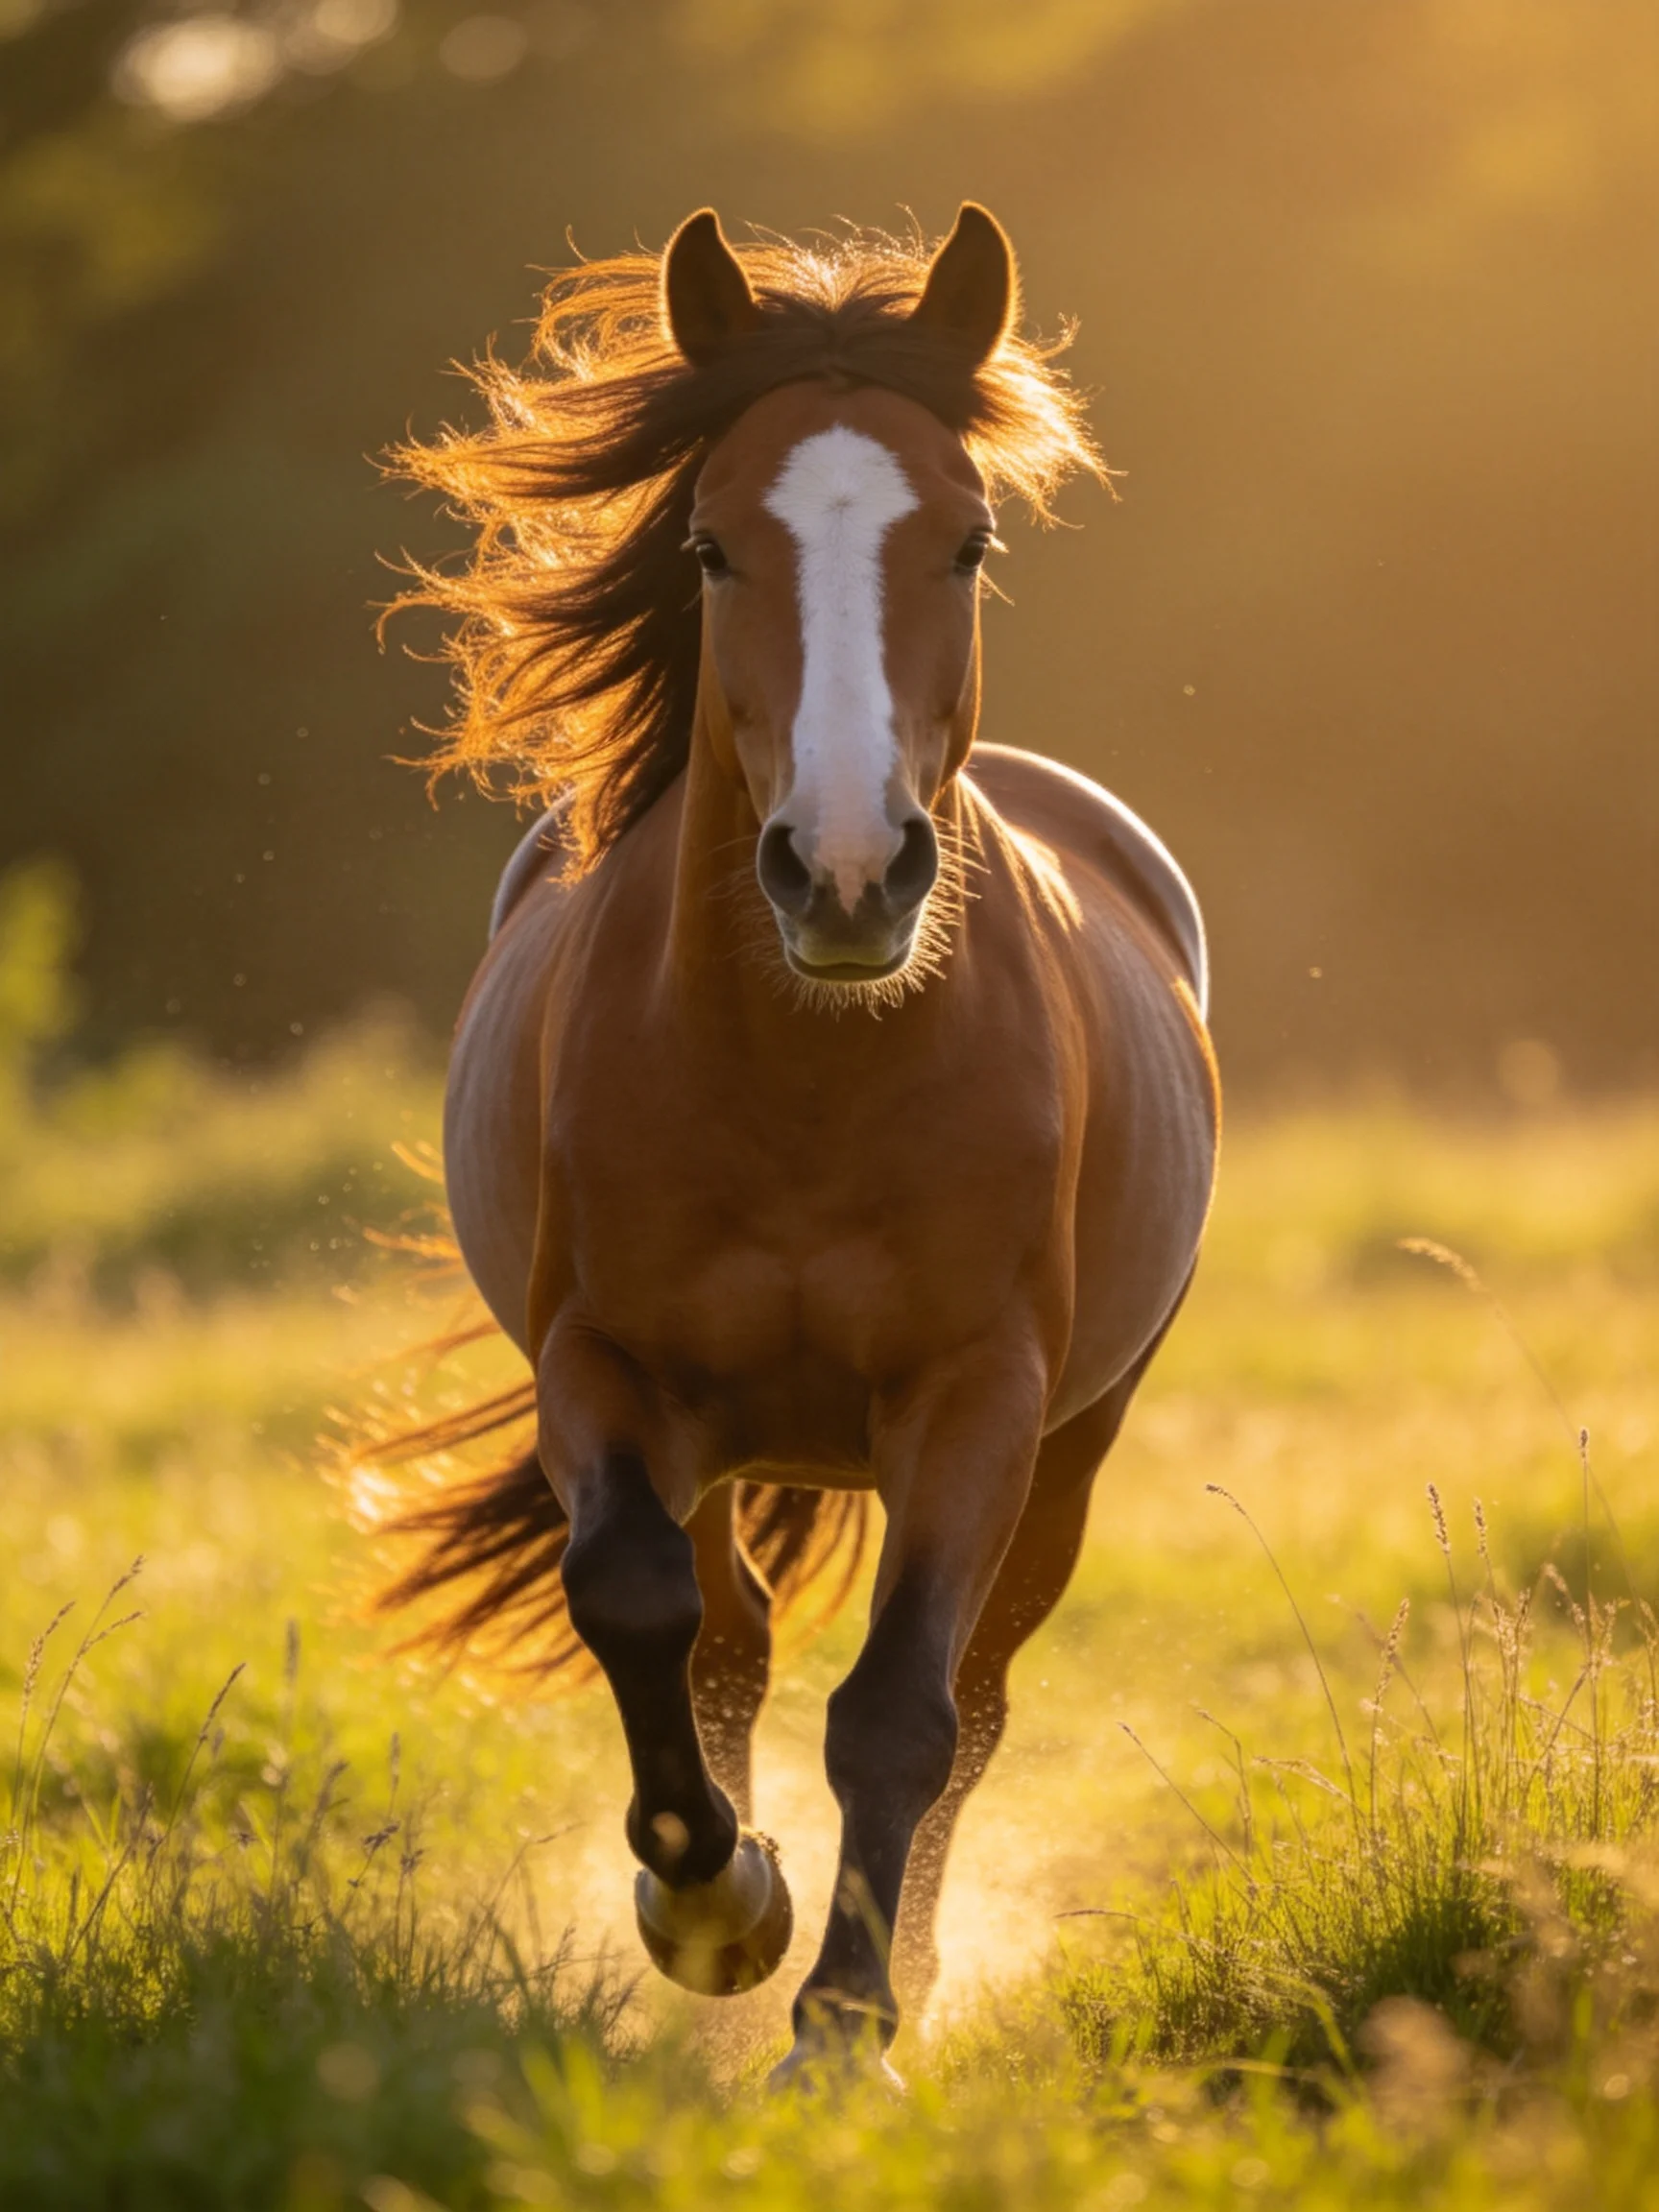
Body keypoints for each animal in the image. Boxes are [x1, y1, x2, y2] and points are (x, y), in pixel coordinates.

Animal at [381, 203, 1219, 2077]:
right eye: (709, 549)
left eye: (968, 542)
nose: (845, 874)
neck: (807, 1084)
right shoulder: (604, 1367)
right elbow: (641, 1605)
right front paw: (715, 1902)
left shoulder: (982, 1399)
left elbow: (905, 1706)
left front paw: (841, 2020)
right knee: (726, 1633)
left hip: (1077, 1439)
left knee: (975, 1693)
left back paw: (903, 1966)